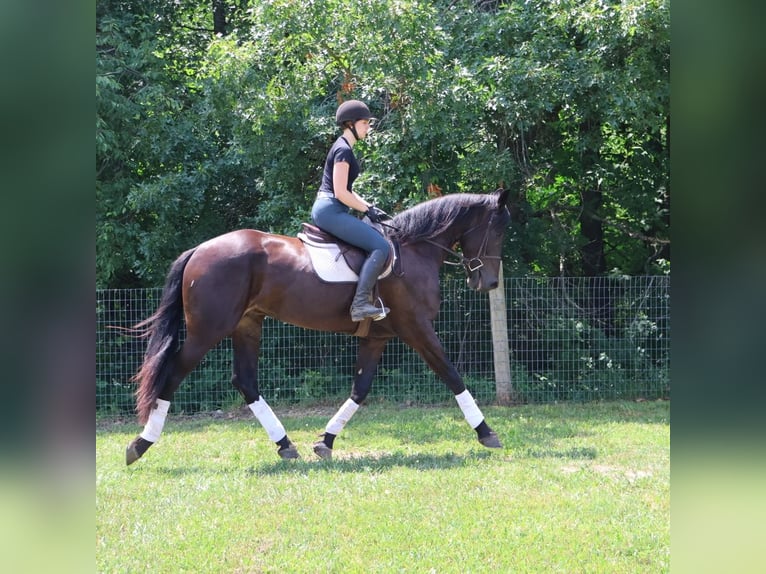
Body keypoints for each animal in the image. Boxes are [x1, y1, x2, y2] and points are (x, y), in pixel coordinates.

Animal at [125, 188, 511, 465]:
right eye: (497, 229)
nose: (490, 283)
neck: (415, 250)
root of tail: (198, 250)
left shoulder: (379, 337)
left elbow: (360, 389)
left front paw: (325, 441)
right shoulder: (416, 328)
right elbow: (452, 375)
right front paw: (487, 433)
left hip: (247, 324)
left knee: (245, 381)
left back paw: (285, 445)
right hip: (208, 330)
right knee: (173, 373)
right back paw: (141, 444)